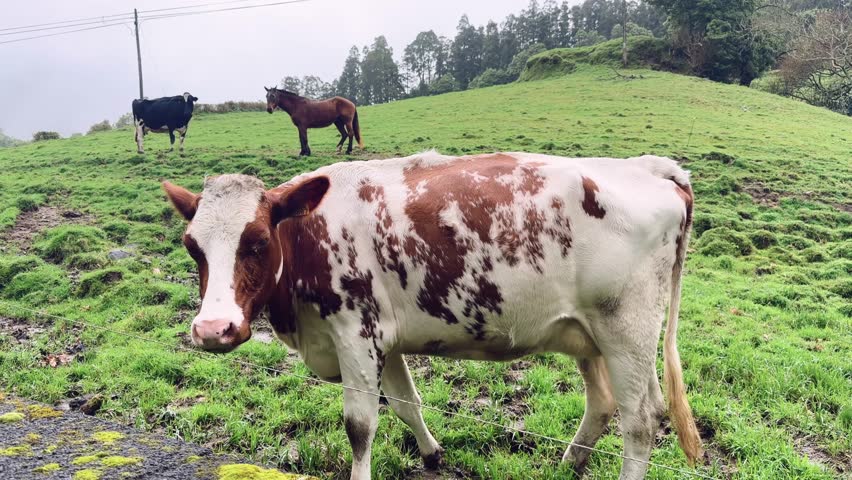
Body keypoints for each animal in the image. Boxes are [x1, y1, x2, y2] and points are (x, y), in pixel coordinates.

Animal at [162, 151, 703, 480]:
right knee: (605, 403)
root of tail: (651, 167)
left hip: (626, 330)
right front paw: (432, 453)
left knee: (640, 420)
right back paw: (570, 461)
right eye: (191, 247)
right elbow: (406, 404)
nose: (212, 330)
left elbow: (360, 424)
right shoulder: (385, 337)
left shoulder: (355, 331)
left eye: (256, 241)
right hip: (591, 334)